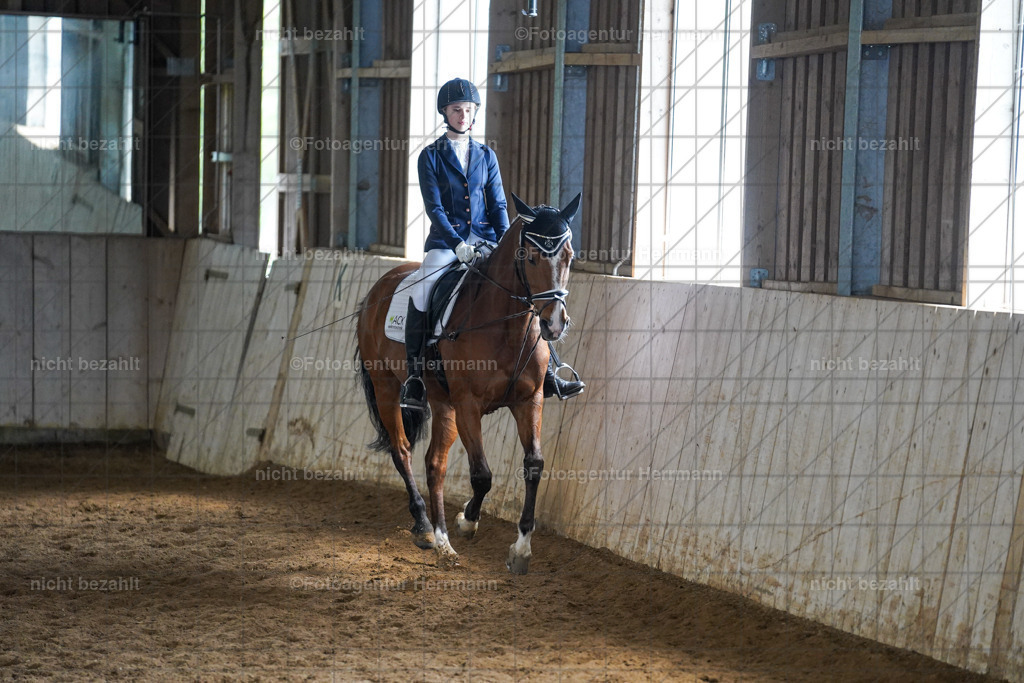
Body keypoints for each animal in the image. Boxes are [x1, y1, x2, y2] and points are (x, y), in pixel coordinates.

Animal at [355, 192, 581, 574]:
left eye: (568, 255)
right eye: (530, 256)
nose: (553, 324)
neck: (506, 327)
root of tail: (379, 287)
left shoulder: (529, 400)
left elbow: (534, 465)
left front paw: (521, 549)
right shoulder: (468, 405)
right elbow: (482, 475)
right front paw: (467, 521)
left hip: (441, 403)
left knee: (435, 463)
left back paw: (441, 540)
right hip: (387, 387)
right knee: (402, 450)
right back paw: (425, 527)